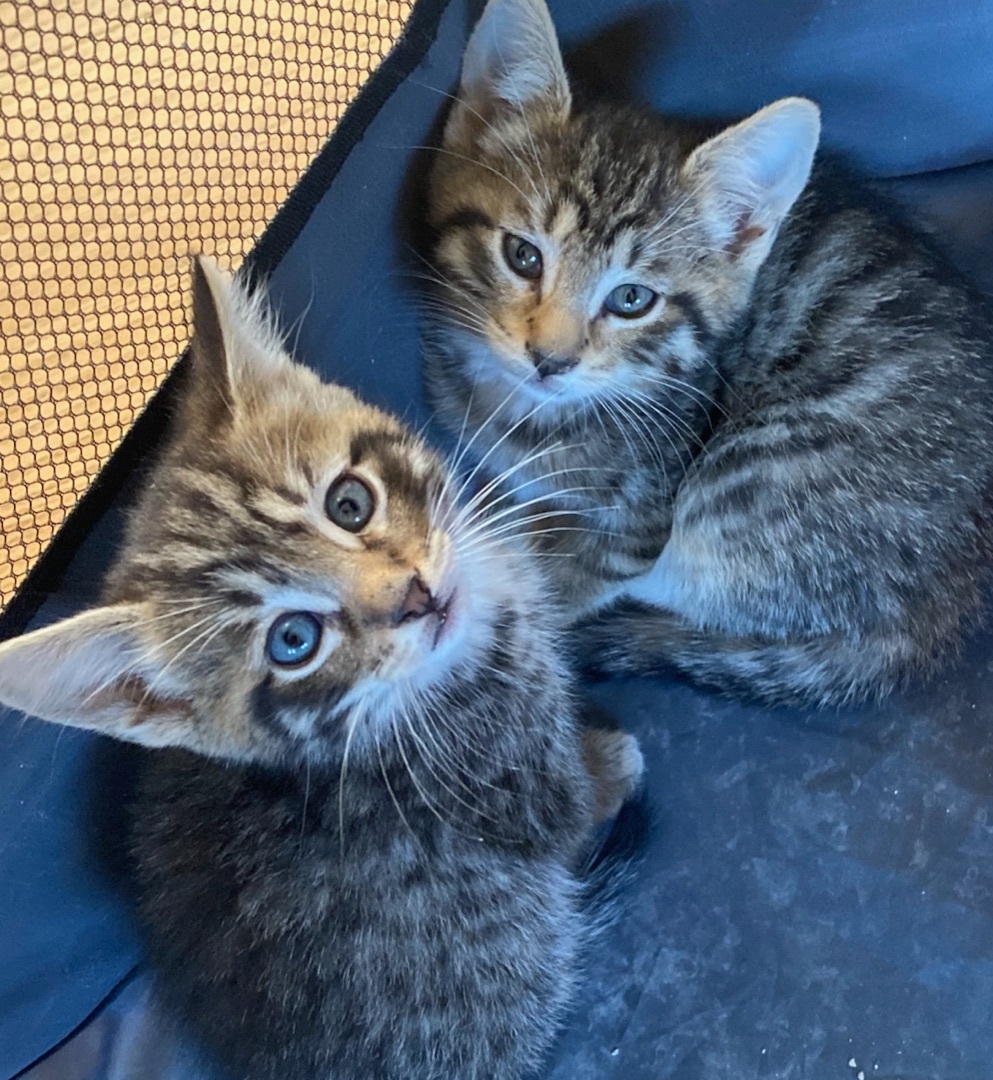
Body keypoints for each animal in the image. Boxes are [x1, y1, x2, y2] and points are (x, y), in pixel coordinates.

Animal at [0, 257, 639, 1075]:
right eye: (293, 641)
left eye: (349, 503)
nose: (416, 597)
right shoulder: (517, 785)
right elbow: (572, 804)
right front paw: (612, 761)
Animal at [423, 0, 993, 708]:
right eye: (523, 256)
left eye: (632, 298)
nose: (548, 360)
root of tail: (948, 610)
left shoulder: (640, 526)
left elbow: (568, 580)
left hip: (748, 489)